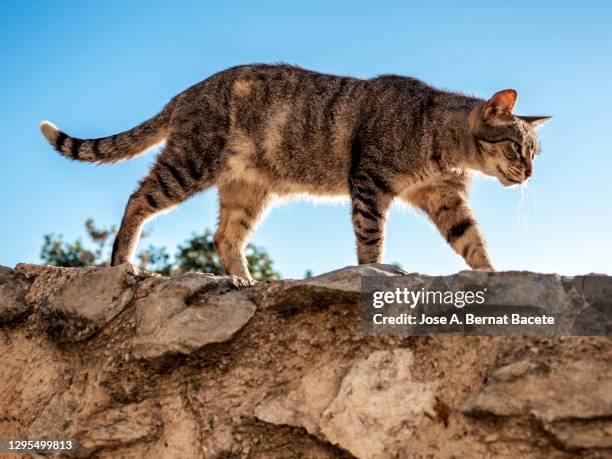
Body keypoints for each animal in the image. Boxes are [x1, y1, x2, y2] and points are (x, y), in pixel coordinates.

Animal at [40, 63, 552, 280]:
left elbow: (473, 243)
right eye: (518, 148)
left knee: (224, 236)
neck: (442, 142)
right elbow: (371, 242)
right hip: (190, 163)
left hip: (248, 190)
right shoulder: (369, 184)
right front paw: (374, 271)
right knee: (137, 199)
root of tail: (185, 93)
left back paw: (245, 281)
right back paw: (122, 262)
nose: (529, 174)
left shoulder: (445, 198)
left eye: (536, 152)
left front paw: (493, 274)